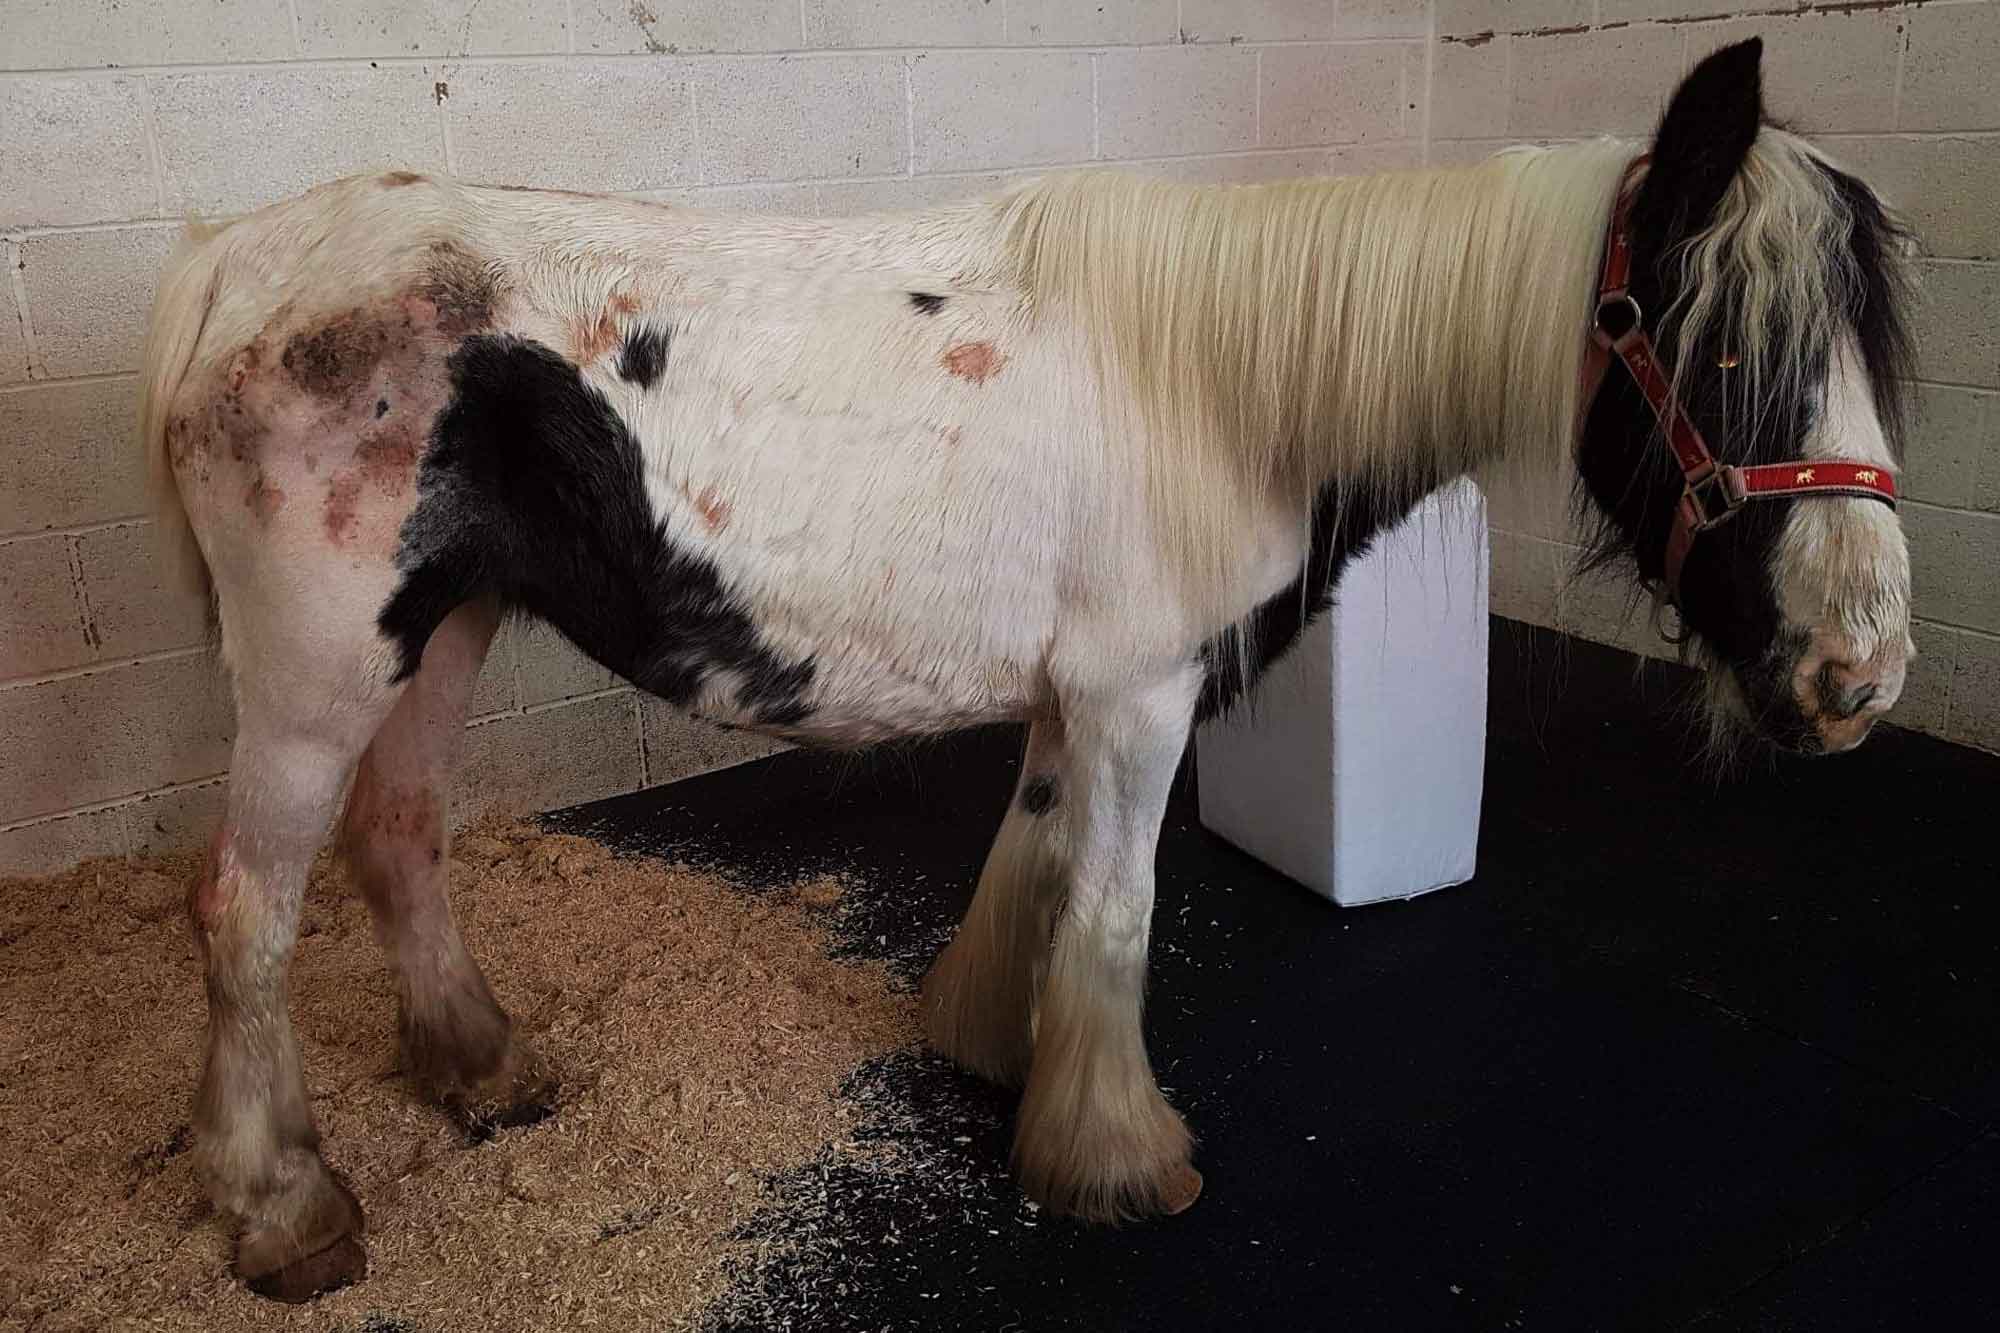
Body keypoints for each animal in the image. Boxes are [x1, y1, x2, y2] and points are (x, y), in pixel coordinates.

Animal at [137, 37, 1913, 1300]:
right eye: (1723, 341)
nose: (1860, 671)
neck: (1219, 380)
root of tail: (231, 265)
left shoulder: (1081, 698)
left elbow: (1040, 869)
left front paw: (1004, 1056)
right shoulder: (1142, 690)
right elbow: (1119, 907)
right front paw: (1120, 1156)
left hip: (441, 629)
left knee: (401, 843)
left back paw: (481, 1071)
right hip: (318, 674)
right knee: (247, 913)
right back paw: (284, 1210)